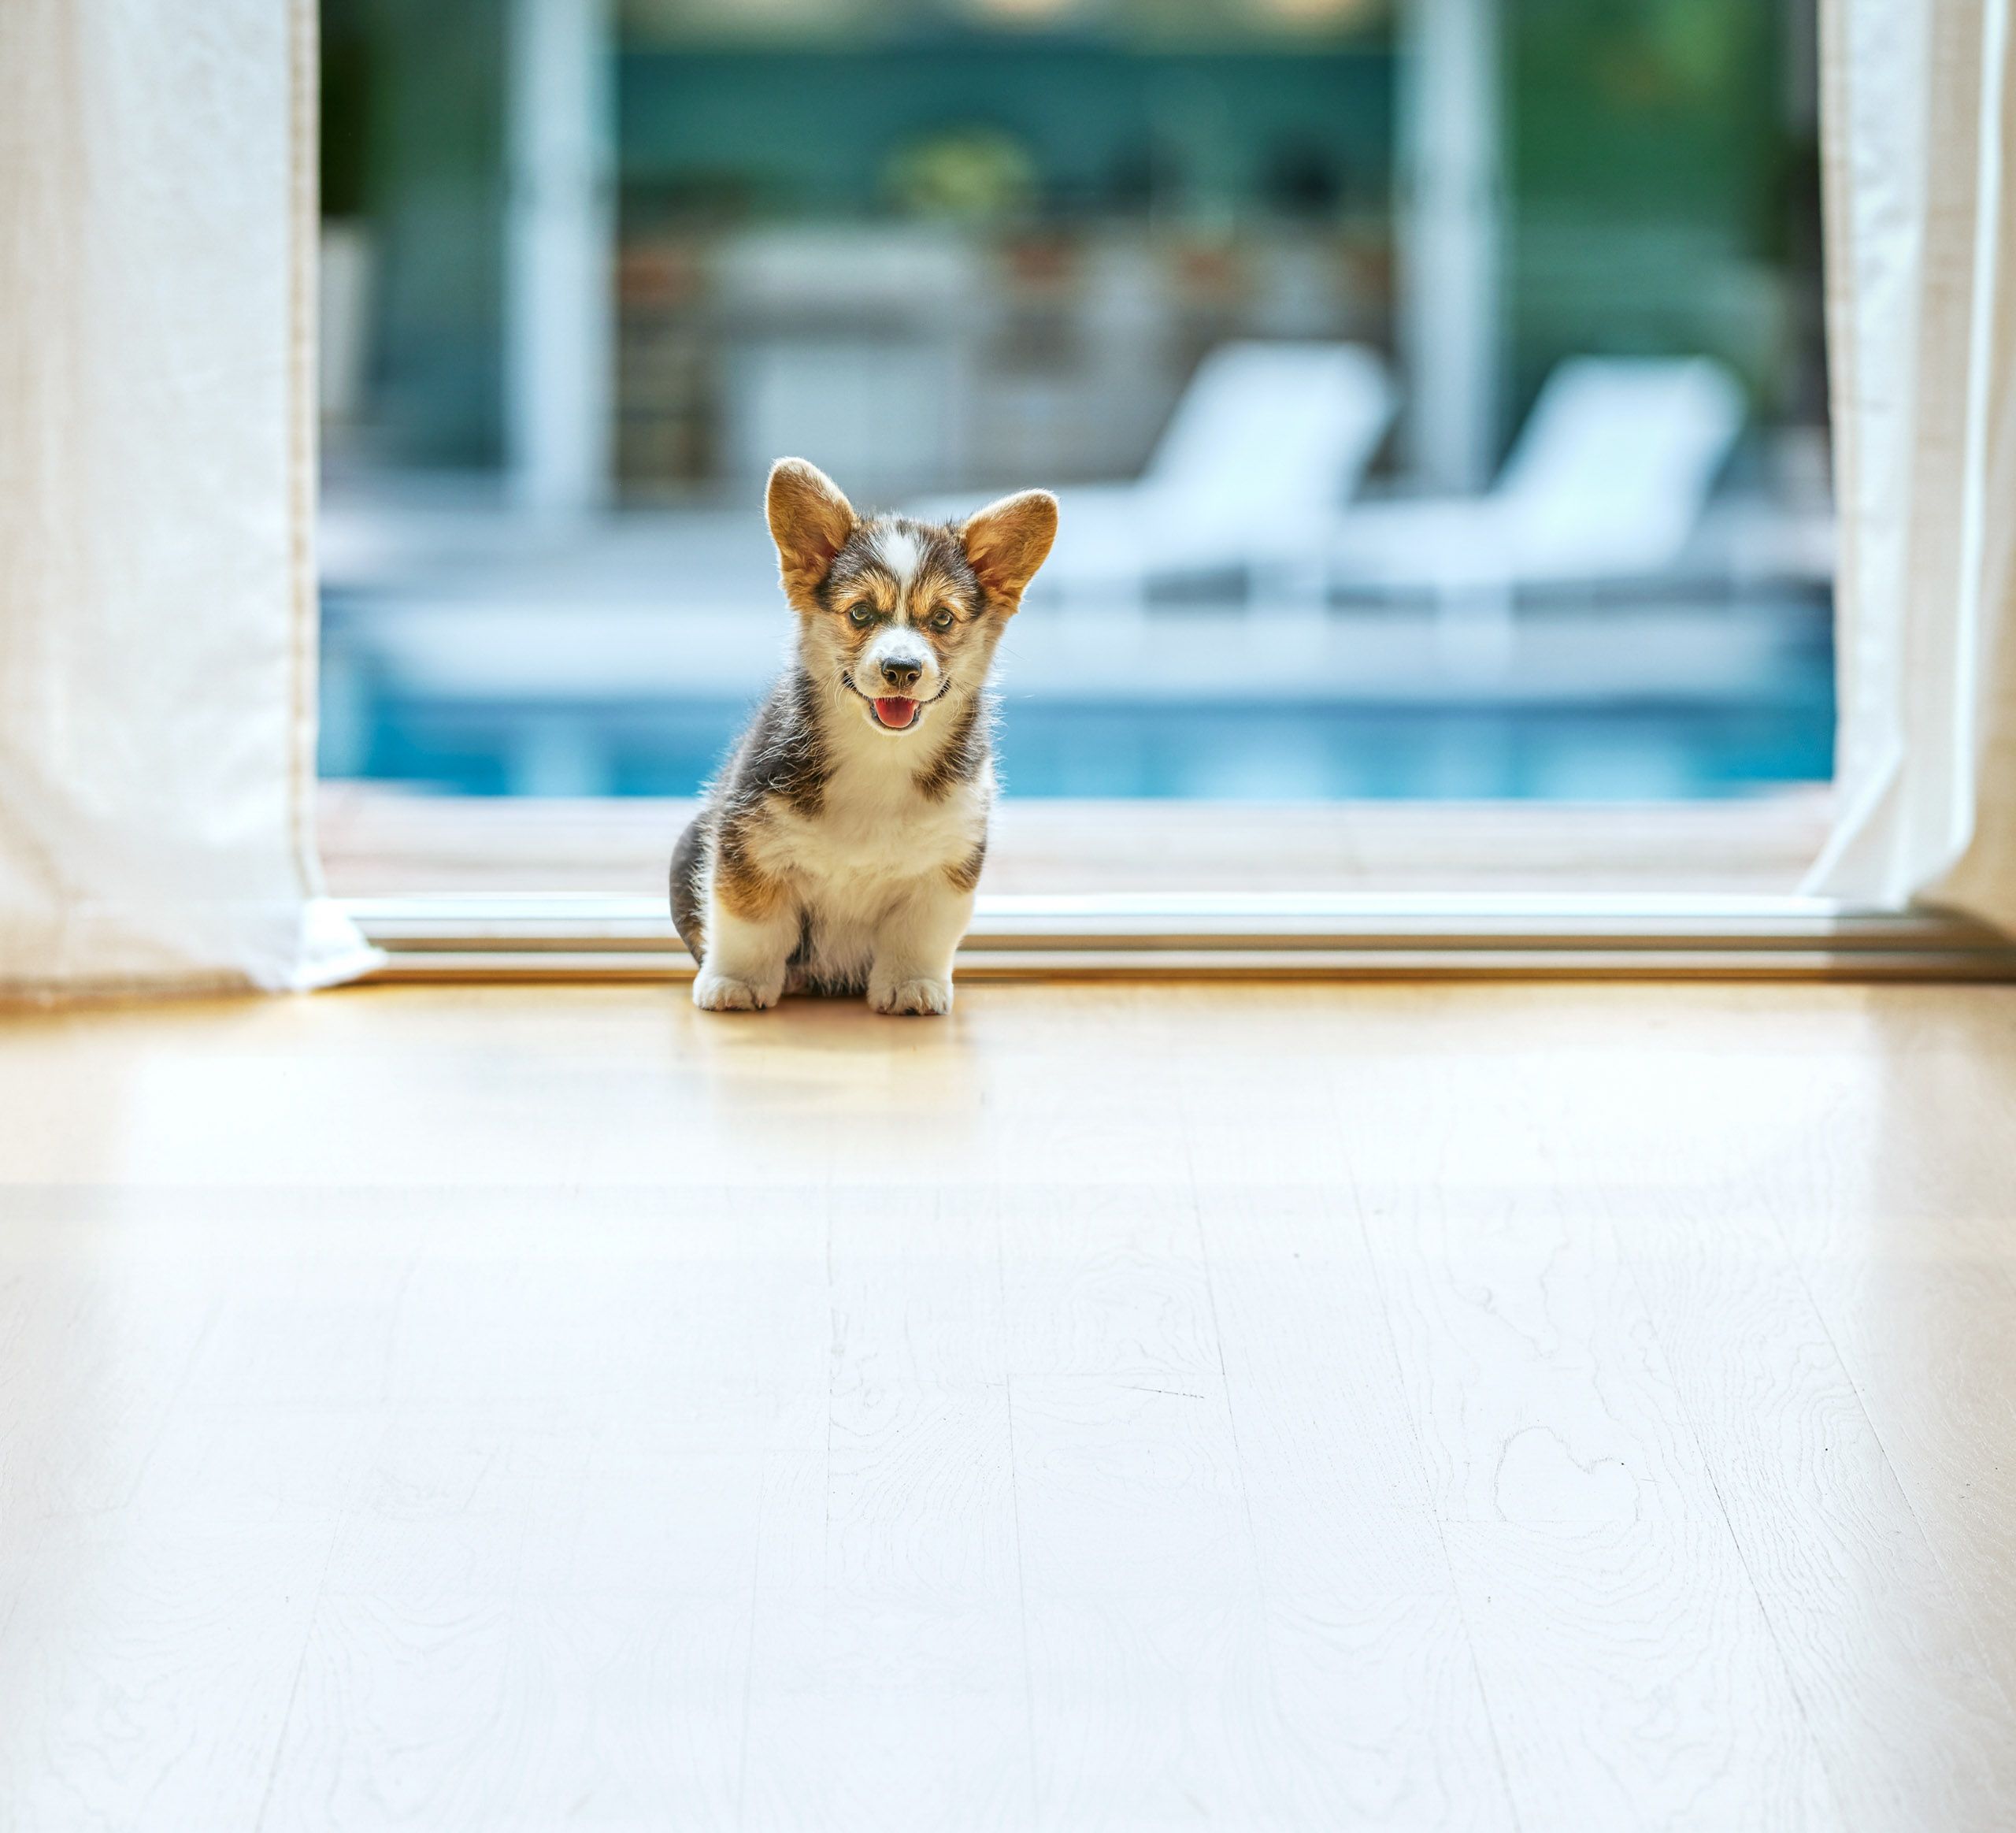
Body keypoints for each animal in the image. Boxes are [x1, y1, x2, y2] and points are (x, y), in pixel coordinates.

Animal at [673, 458, 1056, 1016]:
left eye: (942, 618)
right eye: (860, 613)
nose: (901, 668)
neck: (881, 755)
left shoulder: (944, 870)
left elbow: (919, 938)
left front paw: (911, 986)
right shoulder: (750, 847)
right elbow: (750, 926)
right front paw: (735, 983)